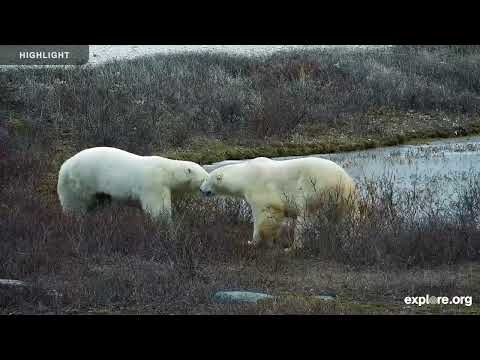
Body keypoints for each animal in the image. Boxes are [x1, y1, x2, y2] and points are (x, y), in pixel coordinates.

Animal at [57, 147, 207, 219]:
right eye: (204, 178)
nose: (206, 190)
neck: (166, 171)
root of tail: (64, 167)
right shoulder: (153, 183)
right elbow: (157, 207)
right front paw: (165, 221)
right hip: (81, 180)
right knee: (76, 204)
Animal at [198, 156, 356, 252]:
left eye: (206, 179)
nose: (200, 189)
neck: (246, 174)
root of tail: (344, 182)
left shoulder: (260, 191)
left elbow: (265, 216)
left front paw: (252, 242)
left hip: (316, 191)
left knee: (305, 218)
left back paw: (292, 247)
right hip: (347, 200)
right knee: (346, 220)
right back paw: (346, 242)